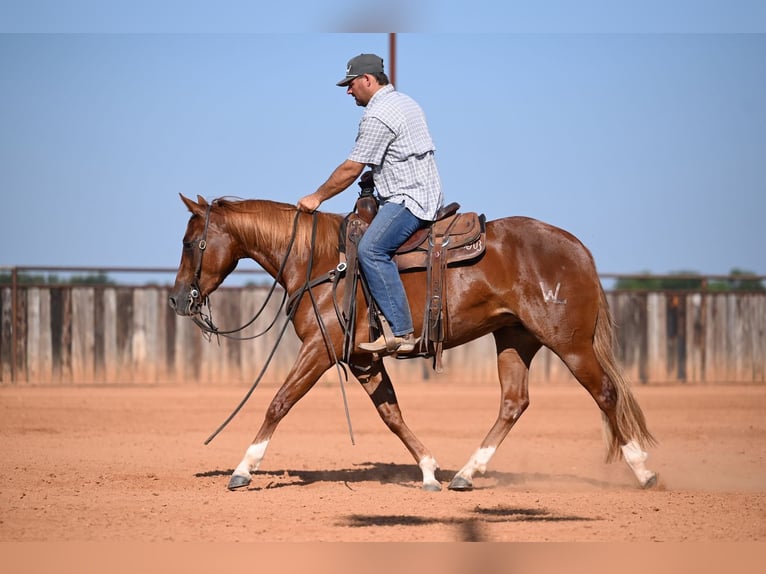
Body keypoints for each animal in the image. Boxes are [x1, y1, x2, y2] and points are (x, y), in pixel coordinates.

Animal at [169, 194, 658, 492]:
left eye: (191, 242)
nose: (176, 298)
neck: (321, 262)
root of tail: (577, 247)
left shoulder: (320, 351)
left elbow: (278, 402)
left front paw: (242, 469)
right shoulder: (362, 361)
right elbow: (392, 415)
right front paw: (428, 470)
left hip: (569, 342)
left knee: (605, 393)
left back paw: (644, 470)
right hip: (514, 338)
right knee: (514, 402)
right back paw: (466, 473)